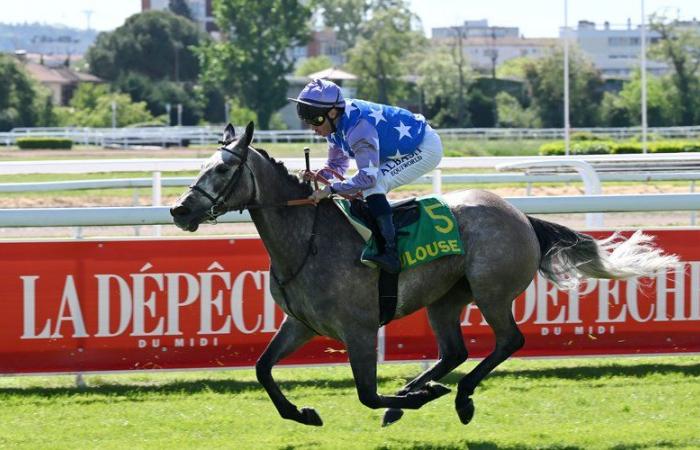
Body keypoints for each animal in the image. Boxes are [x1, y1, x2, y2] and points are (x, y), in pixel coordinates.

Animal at [171, 122, 680, 426]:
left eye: (223, 169)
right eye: (204, 165)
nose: (179, 210)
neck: (306, 240)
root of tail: (519, 214)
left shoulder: (358, 329)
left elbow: (367, 394)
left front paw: (412, 400)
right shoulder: (301, 323)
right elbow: (262, 368)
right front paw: (304, 413)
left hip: (491, 291)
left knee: (507, 341)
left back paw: (457, 396)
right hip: (445, 299)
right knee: (454, 351)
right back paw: (423, 387)